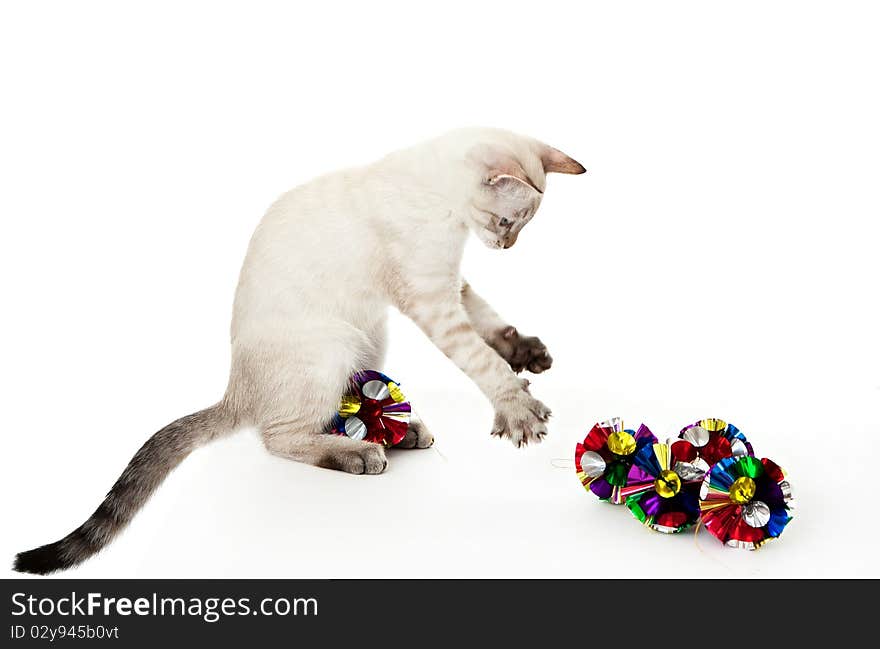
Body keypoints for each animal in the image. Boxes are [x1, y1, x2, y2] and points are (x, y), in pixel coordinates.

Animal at [12, 126, 584, 572]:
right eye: (506, 223)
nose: (506, 247)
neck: (446, 212)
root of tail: (235, 390)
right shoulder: (432, 297)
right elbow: (480, 358)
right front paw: (519, 410)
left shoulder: (452, 285)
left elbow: (491, 323)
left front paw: (527, 353)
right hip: (333, 345)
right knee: (278, 436)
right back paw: (359, 453)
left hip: (370, 337)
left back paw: (399, 432)